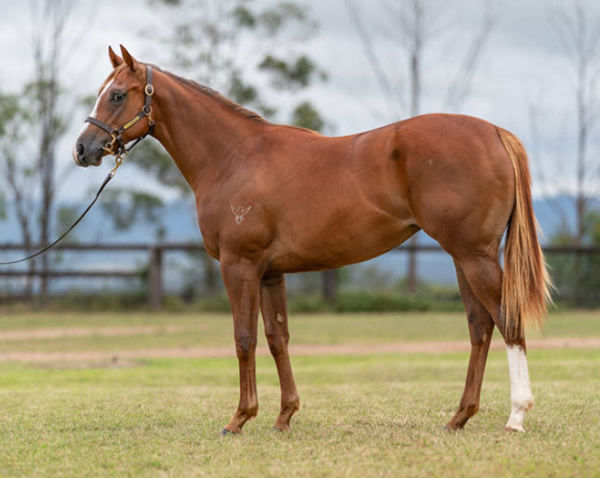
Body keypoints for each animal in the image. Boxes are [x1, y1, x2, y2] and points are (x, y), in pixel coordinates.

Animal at [75, 46, 552, 436]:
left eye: (117, 95)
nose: (83, 148)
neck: (234, 157)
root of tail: (495, 132)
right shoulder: (271, 273)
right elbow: (277, 338)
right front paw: (284, 416)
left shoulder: (239, 265)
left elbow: (244, 337)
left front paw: (239, 418)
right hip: (463, 258)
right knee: (480, 328)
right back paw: (459, 417)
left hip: (474, 257)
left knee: (506, 322)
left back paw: (516, 415)